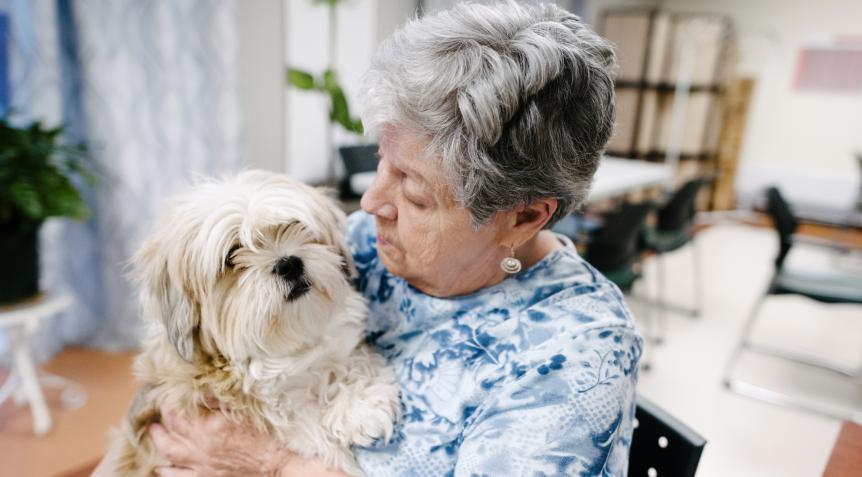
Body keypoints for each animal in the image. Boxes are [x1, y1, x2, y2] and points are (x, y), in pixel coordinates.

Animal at [95, 171, 402, 476]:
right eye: (231, 256)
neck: (285, 354)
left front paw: (359, 408)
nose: (289, 263)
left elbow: (352, 360)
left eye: (294, 225)